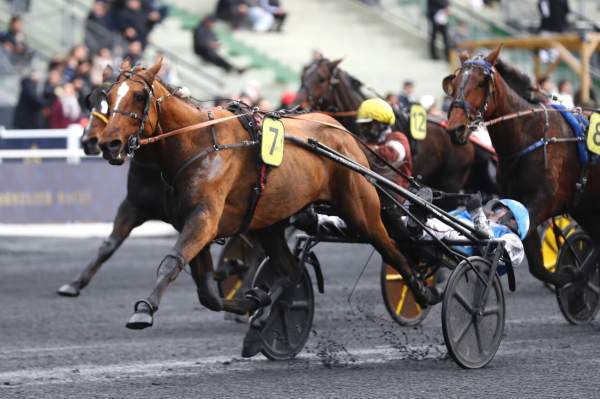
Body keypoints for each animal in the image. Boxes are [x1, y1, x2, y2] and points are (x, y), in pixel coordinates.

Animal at [96, 61, 438, 332]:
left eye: (139, 96)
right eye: (108, 96)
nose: (108, 144)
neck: (199, 142)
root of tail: (339, 129)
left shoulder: (204, 218)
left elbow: (172, 262)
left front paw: (143, 311)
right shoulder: (192, 221)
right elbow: (207, 293)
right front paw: (251, 300)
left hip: (359, 209)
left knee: (390, 247)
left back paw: (421, 290)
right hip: (270, 222)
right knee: (289, 270)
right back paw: (266, 310)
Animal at [442, 47, 600, 290]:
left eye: (481, 82)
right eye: (455, 81)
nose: (455, 128)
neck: (529, 135)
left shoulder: (547, 200)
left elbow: (512, 227)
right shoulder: (521, 201)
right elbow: (536, 265)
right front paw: (570, 278)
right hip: (587, 207)